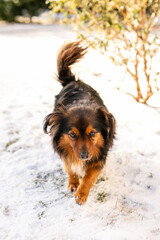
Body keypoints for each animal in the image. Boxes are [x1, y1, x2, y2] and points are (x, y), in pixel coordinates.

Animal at [42, 40, 115, 204]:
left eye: (93, 133)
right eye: (72, 135)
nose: (84, 156)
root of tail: (73, 81)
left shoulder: (99, 156)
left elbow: (89, 177)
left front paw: (81, 194)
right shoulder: (65, 150)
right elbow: (70, 169)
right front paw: (74, 183)